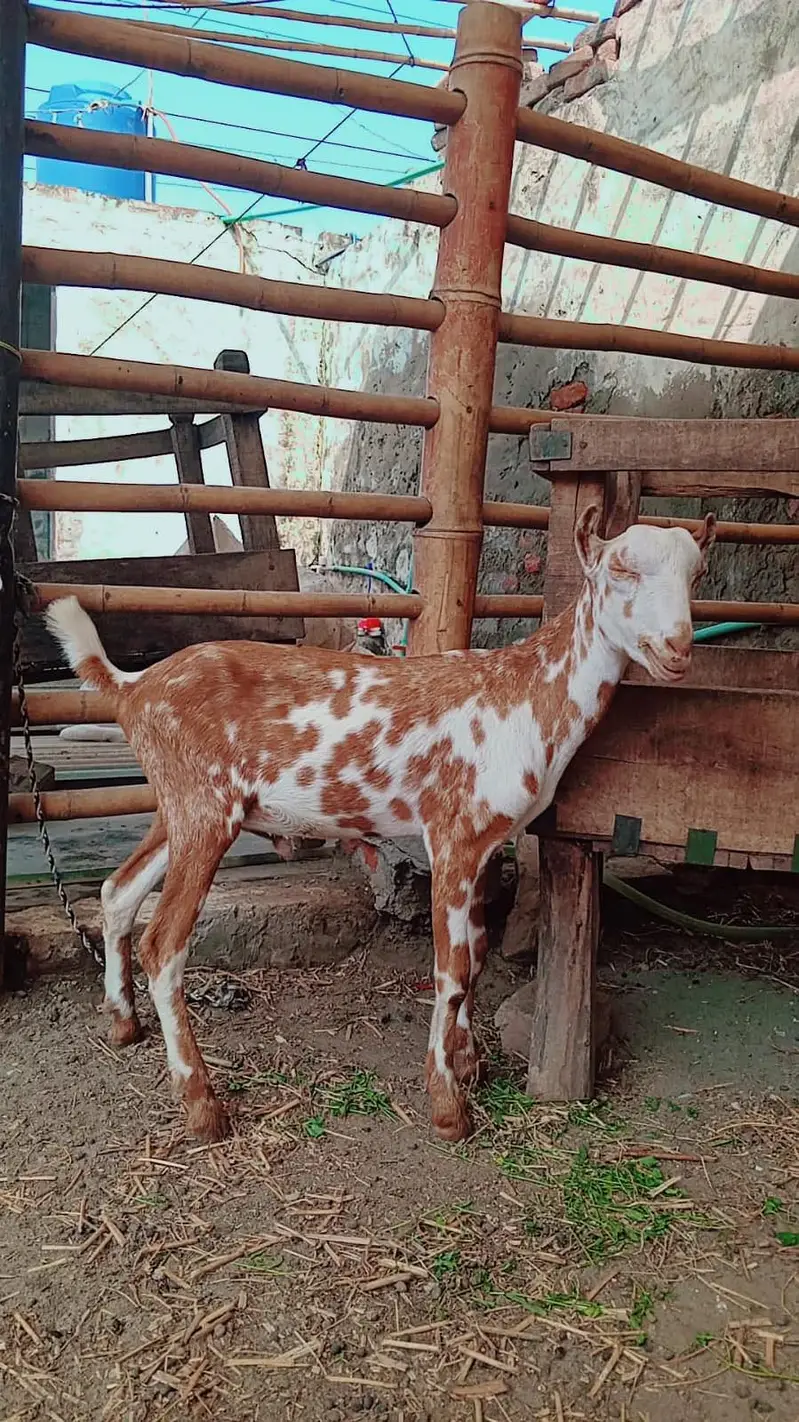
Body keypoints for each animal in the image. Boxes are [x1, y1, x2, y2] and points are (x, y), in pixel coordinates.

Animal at [45, 506, 715, 1144]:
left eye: (696, 575)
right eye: (620, 570)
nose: (678, 648)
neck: (524, 698)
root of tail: (133, 688)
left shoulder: (486, 844)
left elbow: (476, 952)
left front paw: (468, 1062)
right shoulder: (453, 833)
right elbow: (451, 970)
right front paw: (448, 1106)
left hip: (180, 808)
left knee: (117, 891)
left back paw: (123, 1022)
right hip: (204, 807)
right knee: (164, 946)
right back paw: (202, 1105)